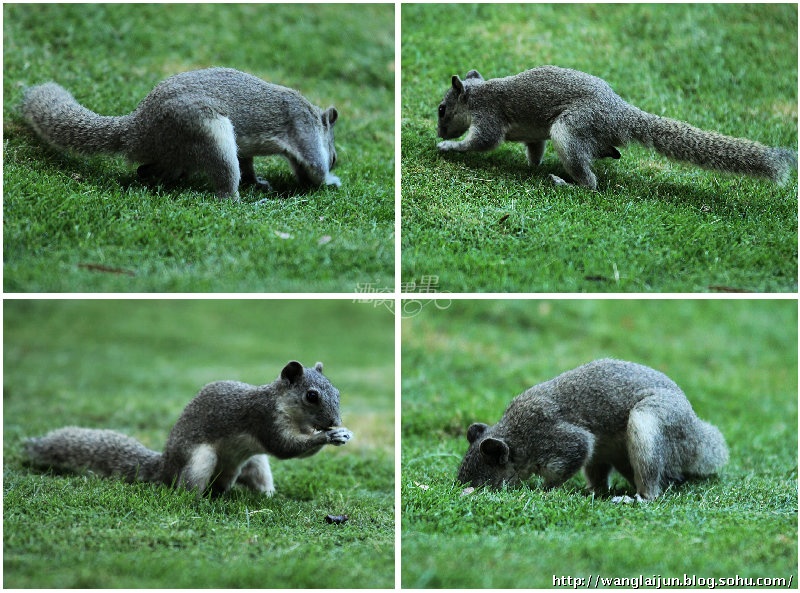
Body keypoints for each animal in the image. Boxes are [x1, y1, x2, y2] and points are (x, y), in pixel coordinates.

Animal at [21, 68, 340, 200]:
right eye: (335, 158)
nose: (335, 160)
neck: (315, 115)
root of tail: (137, 129)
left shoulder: (250, 148)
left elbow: (249, 163)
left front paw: (257, 181)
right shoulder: (302, 127)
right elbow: (314, 164)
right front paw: (329, 181)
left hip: (178, 150)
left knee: (148, 169)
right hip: (205, 131)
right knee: (224, 181)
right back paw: (236, 199)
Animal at [22, 360, 354, 494]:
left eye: (338, 392)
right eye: (311, 396)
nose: (335, 422)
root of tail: (166, 464)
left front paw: (340, 433)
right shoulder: (264, 418)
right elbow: (285, 447)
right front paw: (328, 436)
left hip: (253, 462)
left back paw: (263, 496)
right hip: (199, 460)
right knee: (187, 486)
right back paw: (196, 502)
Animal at [434, 66, 796, 190]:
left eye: (441, 110)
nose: (439, 132)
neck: (477, 96)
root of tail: (620, 113)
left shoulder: (489, 117)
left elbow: (482, 142)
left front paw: (449, 147)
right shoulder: (534, 136)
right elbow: (534, 149)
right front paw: (531, 165)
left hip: (570, 129)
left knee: (592, 183)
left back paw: (568, 183)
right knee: (608, 152)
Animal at [460, 358, 728, 502]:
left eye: (482, 483)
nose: (461, 490)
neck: (516, 436)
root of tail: (695, 435)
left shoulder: (558, 439)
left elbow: (570, 457)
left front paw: (545, 491)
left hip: (648, 421)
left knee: (653, 486)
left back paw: (637, 497)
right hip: (609, 453)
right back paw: (594, 491)